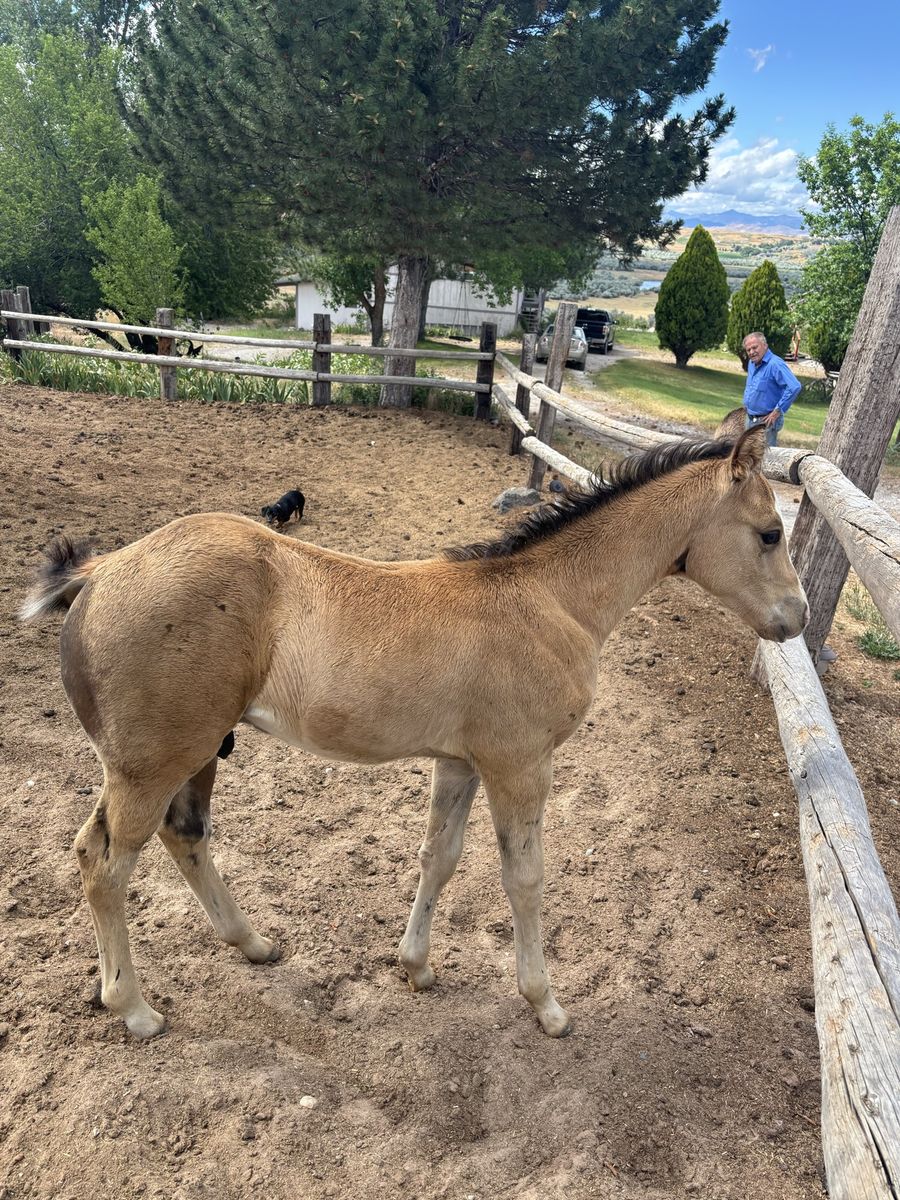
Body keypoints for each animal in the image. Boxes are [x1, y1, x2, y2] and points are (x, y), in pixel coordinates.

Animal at [21, 426, 807, 1040]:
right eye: (770, 534)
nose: (796, 618)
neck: (551, 598)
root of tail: (103, 569)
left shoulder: (461, 761)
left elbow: (440, 857)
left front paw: (417, 966)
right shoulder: (521, 764)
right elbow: (524, 877)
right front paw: (546, 1004)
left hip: (192, 753)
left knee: (183, 834)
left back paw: (253, 944)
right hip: (150, 762)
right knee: (103, 862)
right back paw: (134, 1008)